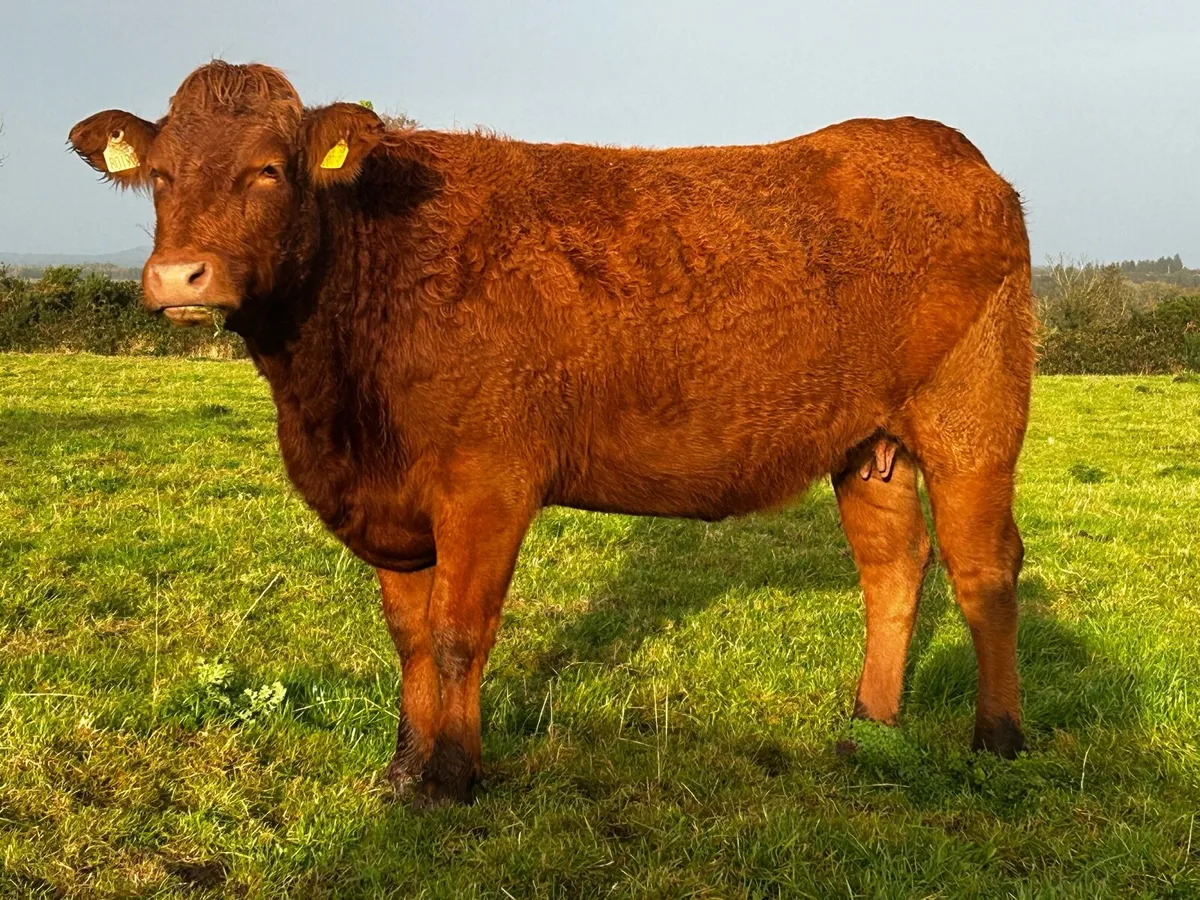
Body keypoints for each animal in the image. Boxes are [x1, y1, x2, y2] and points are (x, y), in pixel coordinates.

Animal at [69, 61, 1036, 807]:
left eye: (269, 170)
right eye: (160, 175)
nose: (178, 277)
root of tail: (945, 148)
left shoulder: (487, 481)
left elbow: (460, 633)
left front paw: (452, 777)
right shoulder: (391, 501)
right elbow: (409, 638)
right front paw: (404, 767)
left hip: (975, 415)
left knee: (984, 565)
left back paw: (998, 740)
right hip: (866, 445)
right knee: (894, 565)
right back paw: (866, 729)